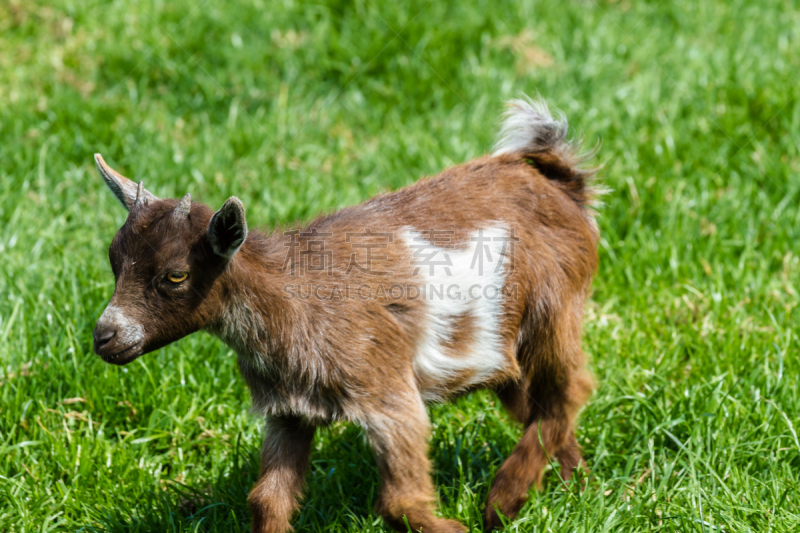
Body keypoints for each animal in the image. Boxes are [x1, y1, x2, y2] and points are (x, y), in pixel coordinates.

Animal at [92, 96, 600, 532]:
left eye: (176, 275)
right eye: (114, 260)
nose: (104, 336)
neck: (293, 300)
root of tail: (564, 185)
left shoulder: (387, 392)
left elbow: (399, 502)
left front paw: (458, 527)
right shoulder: (289, 410)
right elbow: (266, 500)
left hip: (554, 309)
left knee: (569, 390)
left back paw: (503, 502)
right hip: (499, 350)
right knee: (538, 403)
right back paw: (573, 487)